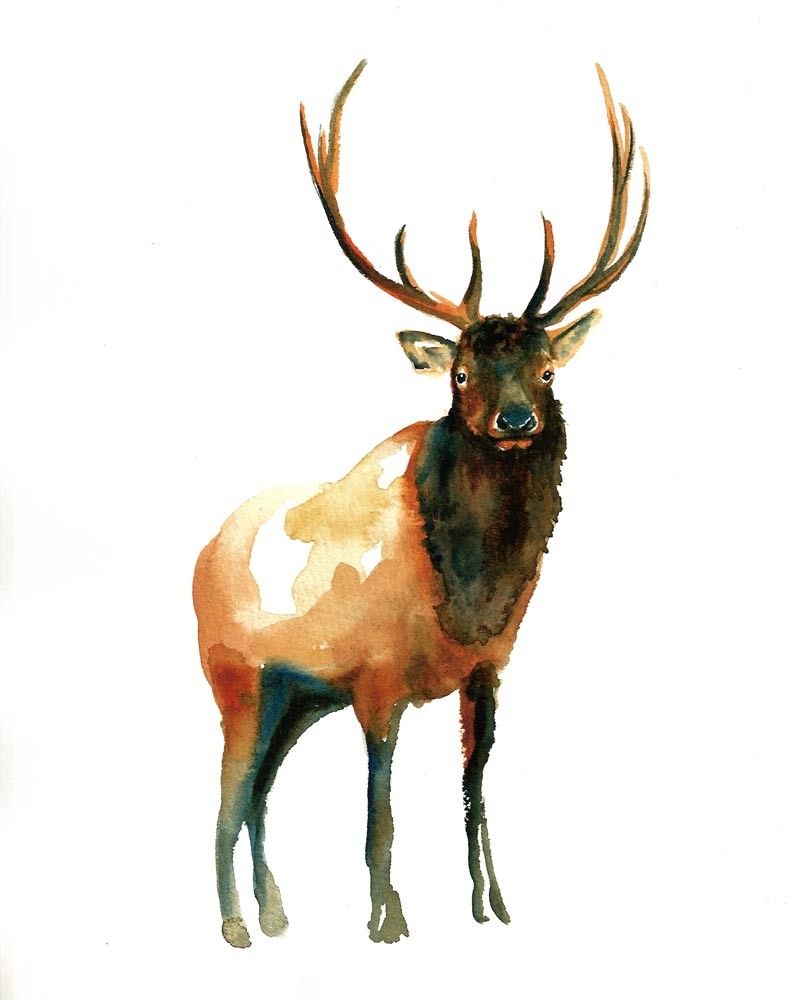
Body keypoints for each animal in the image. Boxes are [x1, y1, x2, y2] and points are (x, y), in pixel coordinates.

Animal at [193, 60, 649, 947]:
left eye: (547, 369)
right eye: (461, 372)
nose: (517, 421)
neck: (469, 596)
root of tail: (199, 555)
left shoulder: (489, 669)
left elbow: (474, 788)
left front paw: (492, 904)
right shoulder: (375, 678)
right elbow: (381, 804)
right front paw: (385, 917)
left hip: (299, 697)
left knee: (260, 790)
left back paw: (275, 912)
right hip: (236, 677)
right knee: (227, 794)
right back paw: (233, 924)